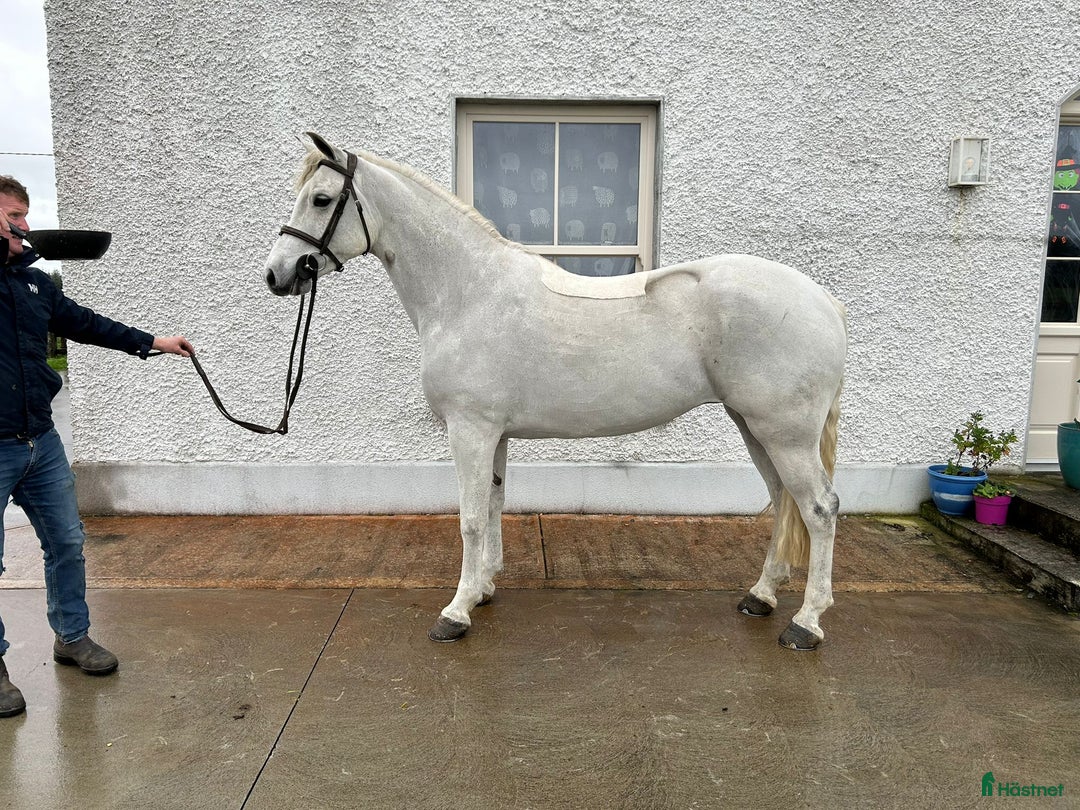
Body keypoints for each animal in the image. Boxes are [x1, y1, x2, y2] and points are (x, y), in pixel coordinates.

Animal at [263, 132, 848, 650]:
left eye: (320, 199)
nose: (277, 274)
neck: (468, 292)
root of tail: (824, 301)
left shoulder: (470, 430)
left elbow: (470, 518)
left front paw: (454, 613)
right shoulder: (493, 433)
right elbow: (493, 505)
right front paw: (482, 590)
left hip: (785, 434)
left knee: (819, 508)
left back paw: (806, 624)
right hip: (754, 426)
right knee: (783, 502)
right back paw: (761, 596)